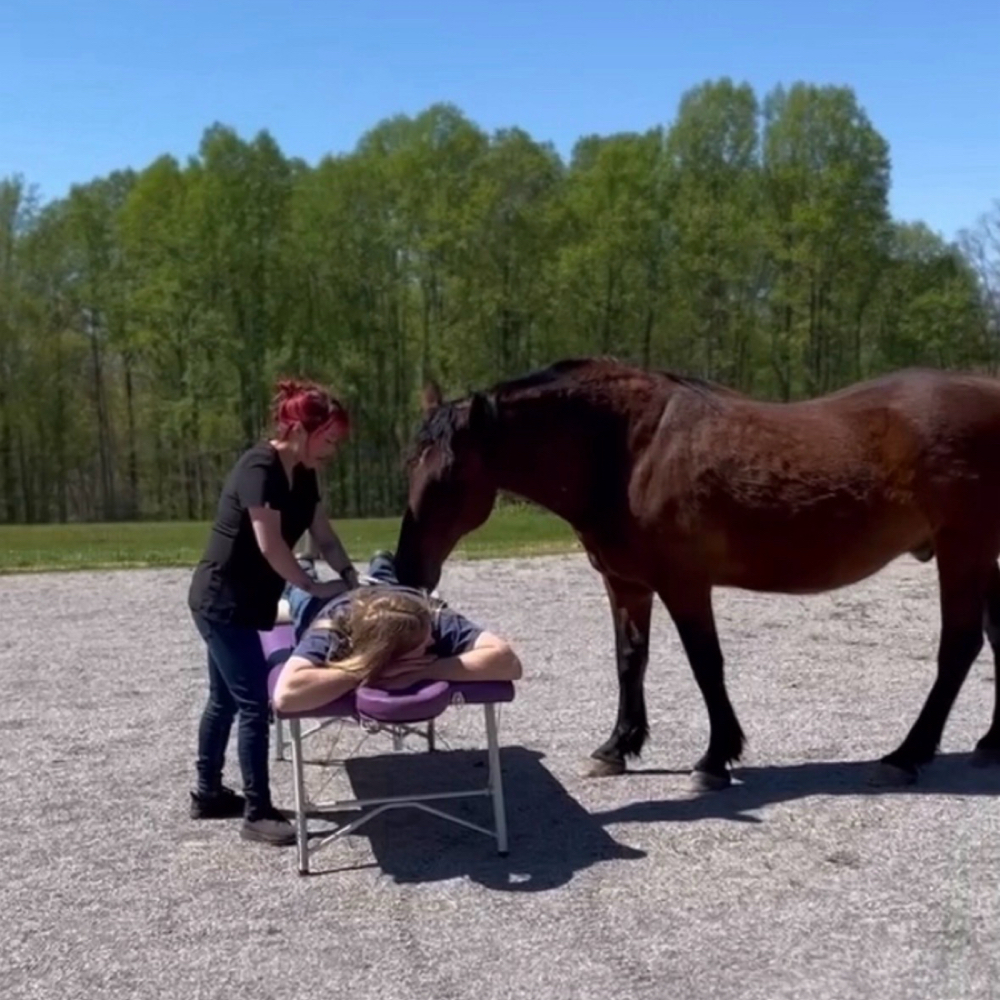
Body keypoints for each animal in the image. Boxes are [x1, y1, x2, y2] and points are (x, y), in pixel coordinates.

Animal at [393, 356, 1000, 790]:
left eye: (450, 477)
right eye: (409, 465)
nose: (407, 567)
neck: (629, 452)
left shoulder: (684, 584)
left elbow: (706, 665)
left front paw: (714, 758)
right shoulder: (626, 583)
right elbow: (630, 661)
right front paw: (617, 747)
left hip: (961, 548)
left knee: (959, 646)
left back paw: (906, 756)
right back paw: (988, 745)